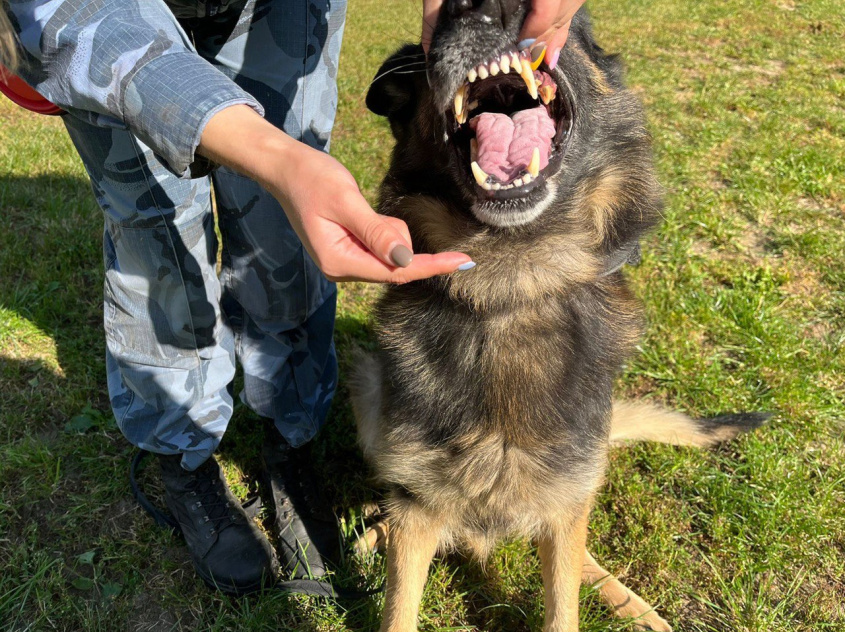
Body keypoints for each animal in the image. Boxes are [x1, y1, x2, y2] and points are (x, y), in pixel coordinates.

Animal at [350, 2, 764, 628]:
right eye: (427, 41)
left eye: (578, 24)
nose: (478, 5)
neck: (513, 284)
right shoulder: (421, 504)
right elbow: (400, 602)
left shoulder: (566, 497)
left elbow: (563, 601)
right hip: (368, 386)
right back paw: (375, 532)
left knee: (578, 545)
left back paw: (629, 601)